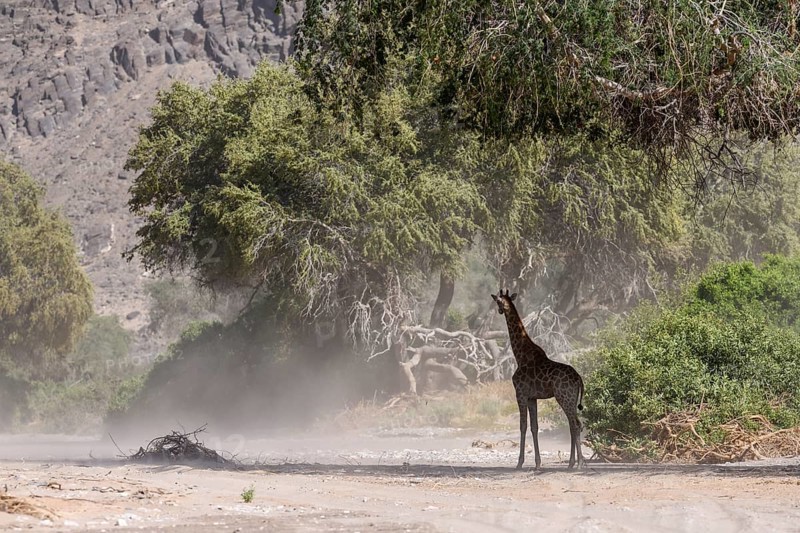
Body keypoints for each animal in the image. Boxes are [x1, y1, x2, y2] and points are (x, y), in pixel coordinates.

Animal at [491, 289, 585, 470]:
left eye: (499, 301)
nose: (500, 309)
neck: (520, 355)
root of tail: (579, 378)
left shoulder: (520, 393)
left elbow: (522, 426)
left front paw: (519, 463)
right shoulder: (532, 397)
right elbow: (534, 427)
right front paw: (537, 464)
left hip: (564, 397)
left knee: (576, 424)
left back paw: (579, 464)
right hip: (570, 399)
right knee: (574, 425)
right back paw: (572, 463)